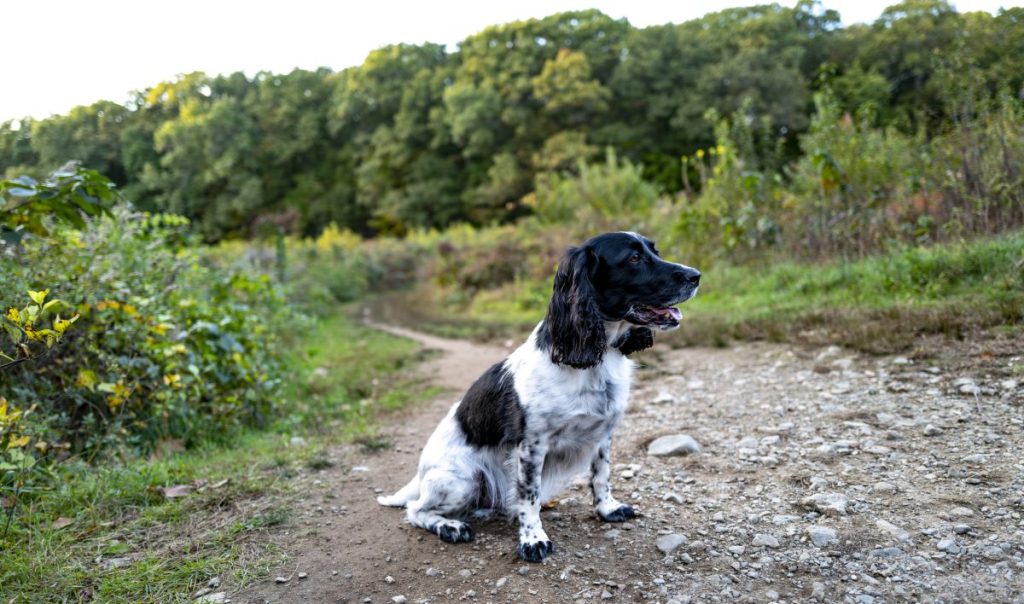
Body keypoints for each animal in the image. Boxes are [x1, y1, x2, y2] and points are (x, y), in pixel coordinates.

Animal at [380, 232, 700, 565]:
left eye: (655, 251)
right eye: (634, 258)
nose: (696, 276)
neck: (595, 356)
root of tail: (420, 474)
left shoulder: (603, 434)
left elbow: (602, 475)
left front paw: (607, 509)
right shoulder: (531, 445)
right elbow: (529, 496)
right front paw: (533, 540)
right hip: (460, 479)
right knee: (415, 510)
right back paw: (450, 526)